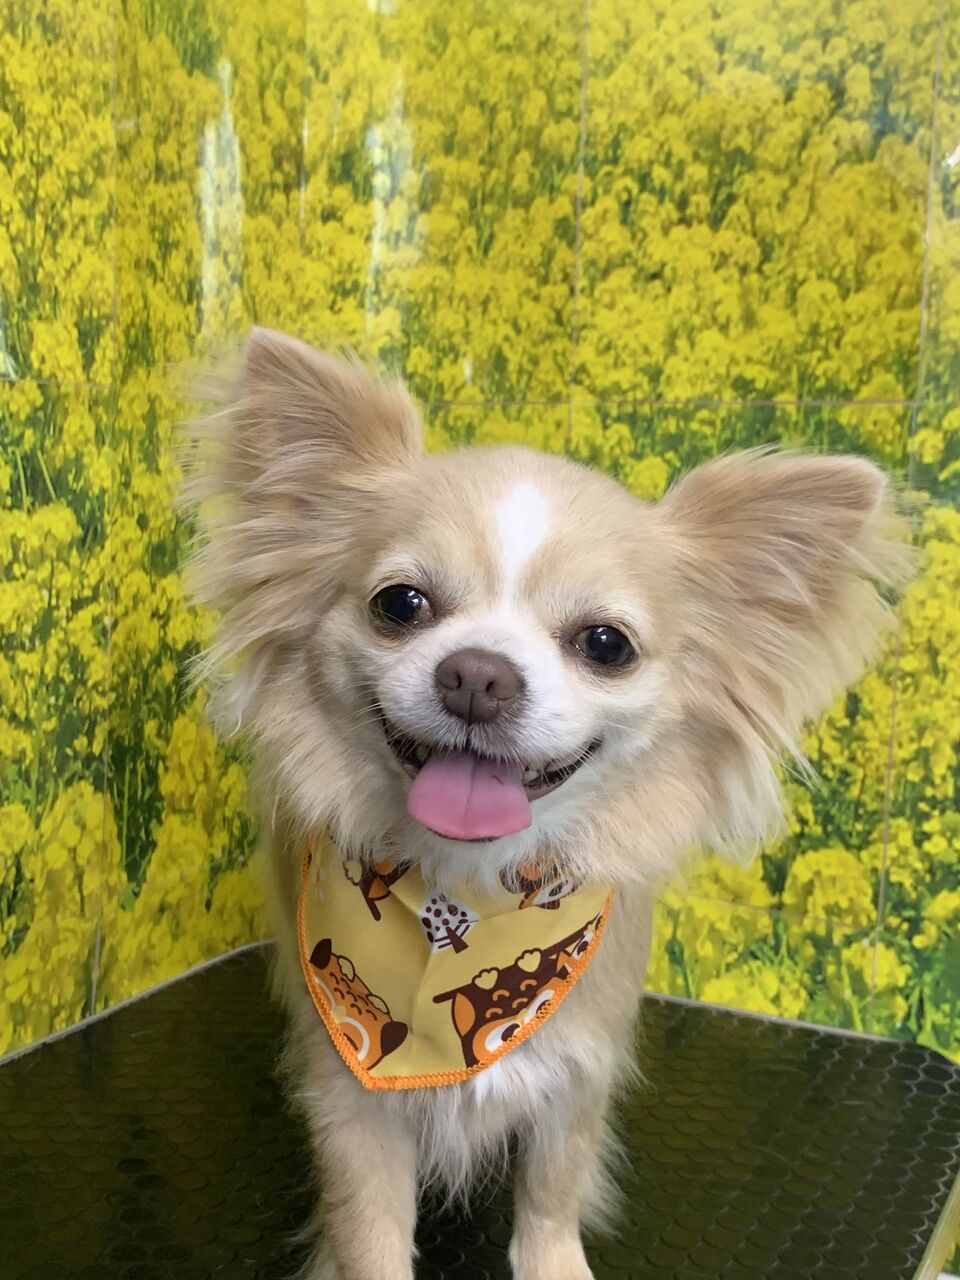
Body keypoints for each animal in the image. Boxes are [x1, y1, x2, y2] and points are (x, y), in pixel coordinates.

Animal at [184, 328, 910, 1280]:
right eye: (400, 604)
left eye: (605, 644)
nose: (476, 674)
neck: (467, 896)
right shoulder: (351, 1095)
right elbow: (369, 1229)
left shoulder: (576, 1066)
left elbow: (553, 1193)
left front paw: (553, 1259)